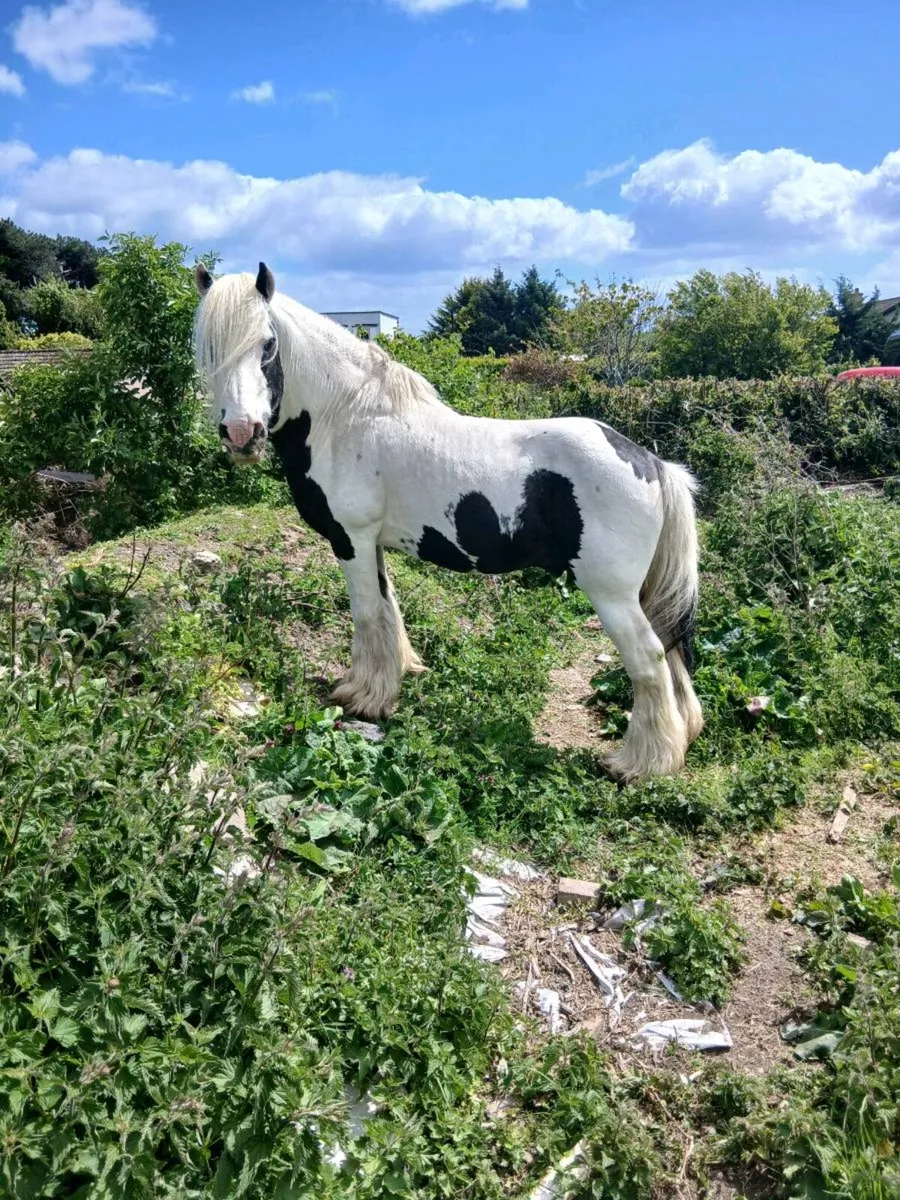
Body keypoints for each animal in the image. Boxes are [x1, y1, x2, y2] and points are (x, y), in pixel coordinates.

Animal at [193, 262, 703, 781]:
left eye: (267, 344)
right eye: (210, 347)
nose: (241, 433)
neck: (346, 420)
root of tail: (650, 462)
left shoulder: (351, 539)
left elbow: (366, 615)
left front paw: (364, 698)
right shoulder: (372, 544)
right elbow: (389, 610)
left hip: (611, 594)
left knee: (649, 659)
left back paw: (641, 762)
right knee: (671, 654)